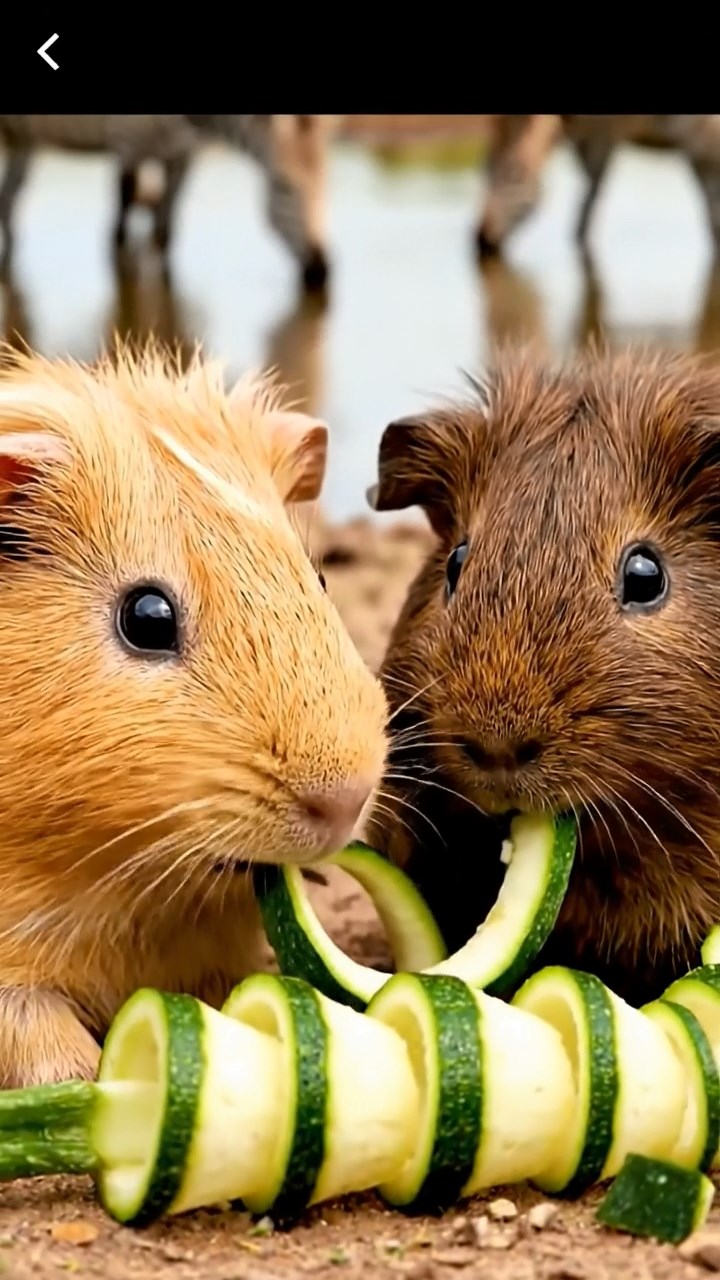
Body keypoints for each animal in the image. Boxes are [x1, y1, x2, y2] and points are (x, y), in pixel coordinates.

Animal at [0, 114, 336, 291]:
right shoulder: (128, 144)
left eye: (329, 184)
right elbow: (118, 235)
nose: (323, 271)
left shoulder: (181, 156)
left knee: (11, 199)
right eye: (284, 186)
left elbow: (165, 236)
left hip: (21, 135)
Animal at [476, 114, 720, 260]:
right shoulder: (593, 136)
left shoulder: (703, 139)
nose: (481, 240)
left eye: (515, 176)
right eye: (483, 170)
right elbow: (588, 200)